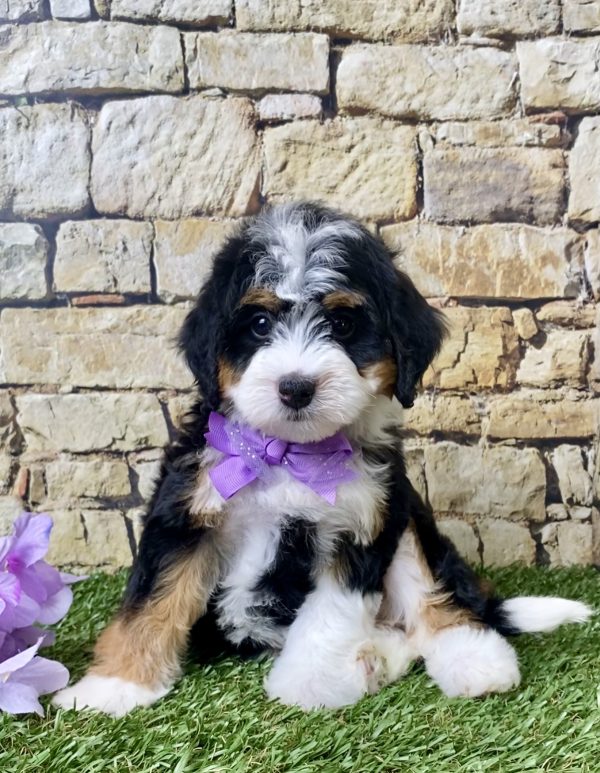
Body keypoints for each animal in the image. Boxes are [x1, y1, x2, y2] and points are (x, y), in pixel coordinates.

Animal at [54, 201, 592, 716]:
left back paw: (473, 661)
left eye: (341, 324)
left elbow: (330, 614)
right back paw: (375, 659)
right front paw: (115, 687)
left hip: (408, 521)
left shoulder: (363, 523)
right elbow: (151, 599)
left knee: (433, 596)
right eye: (260, 324)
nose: (296, 387)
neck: (290, 452)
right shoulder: (186, 510)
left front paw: (308, 687)